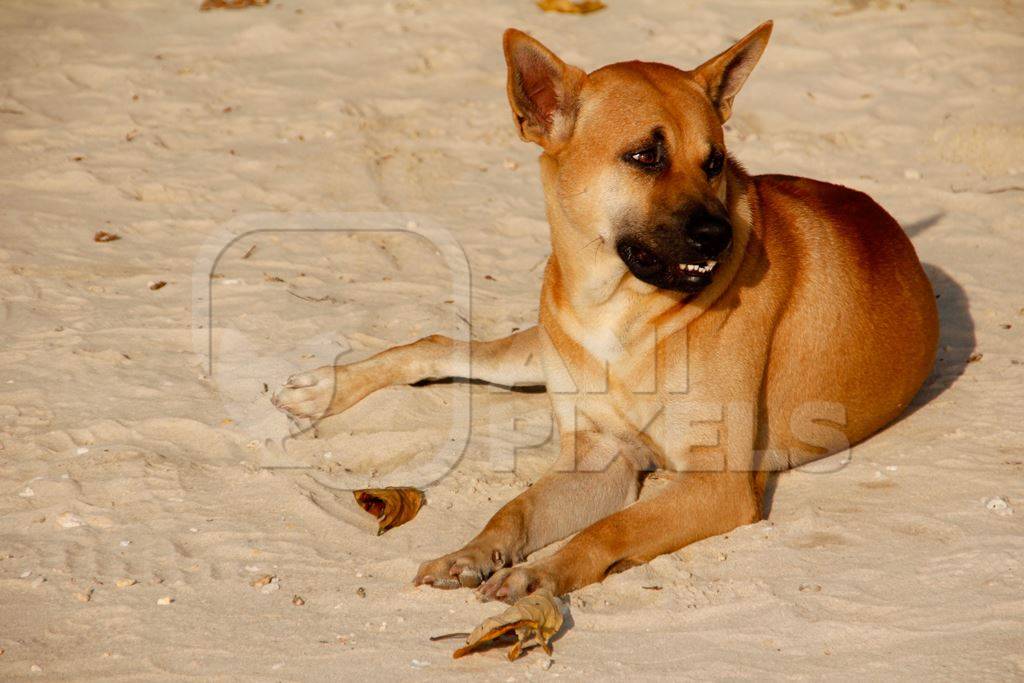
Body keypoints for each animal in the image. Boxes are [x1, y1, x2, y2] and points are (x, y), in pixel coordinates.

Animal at [272, 22, 937, 602]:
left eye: (715, 161)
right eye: (645, 156)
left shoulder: (716, 482)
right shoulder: (600, 454)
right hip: (532, 352)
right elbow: (515, 508)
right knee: (438, 345)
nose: (719, 236)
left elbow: (611, 528)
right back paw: (325, 388)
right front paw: (473, 551)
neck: (619, 308)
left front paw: (543, 573)